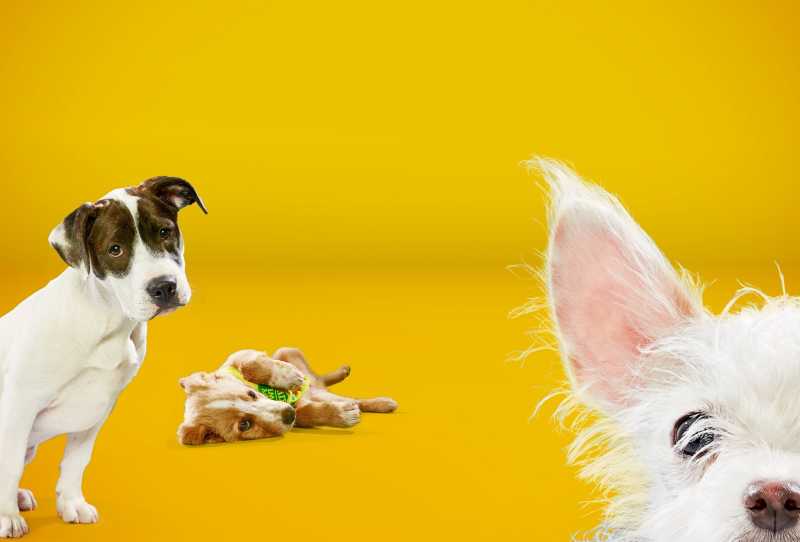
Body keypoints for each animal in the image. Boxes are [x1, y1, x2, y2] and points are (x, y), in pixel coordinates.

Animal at [0, 178, 205, 540]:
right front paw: (7, 516)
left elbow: (75, 462)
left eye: (164, 232)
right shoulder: (18, 402)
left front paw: (71, 504)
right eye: (115, 250)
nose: (164, 287)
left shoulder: (98, 407)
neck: (109, 317)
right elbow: (8, 463)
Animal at [178, 348, 396, 446]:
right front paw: (343, 416)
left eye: (251, 394)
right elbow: (308, 413)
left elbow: (250, 365)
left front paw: (288, 376)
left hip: (287, 351)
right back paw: (382, 404)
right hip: (322, 392)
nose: (288, 415)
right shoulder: (299, 413)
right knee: (350, 398)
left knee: (320, 379)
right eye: (245, 425)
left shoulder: (240, 355)